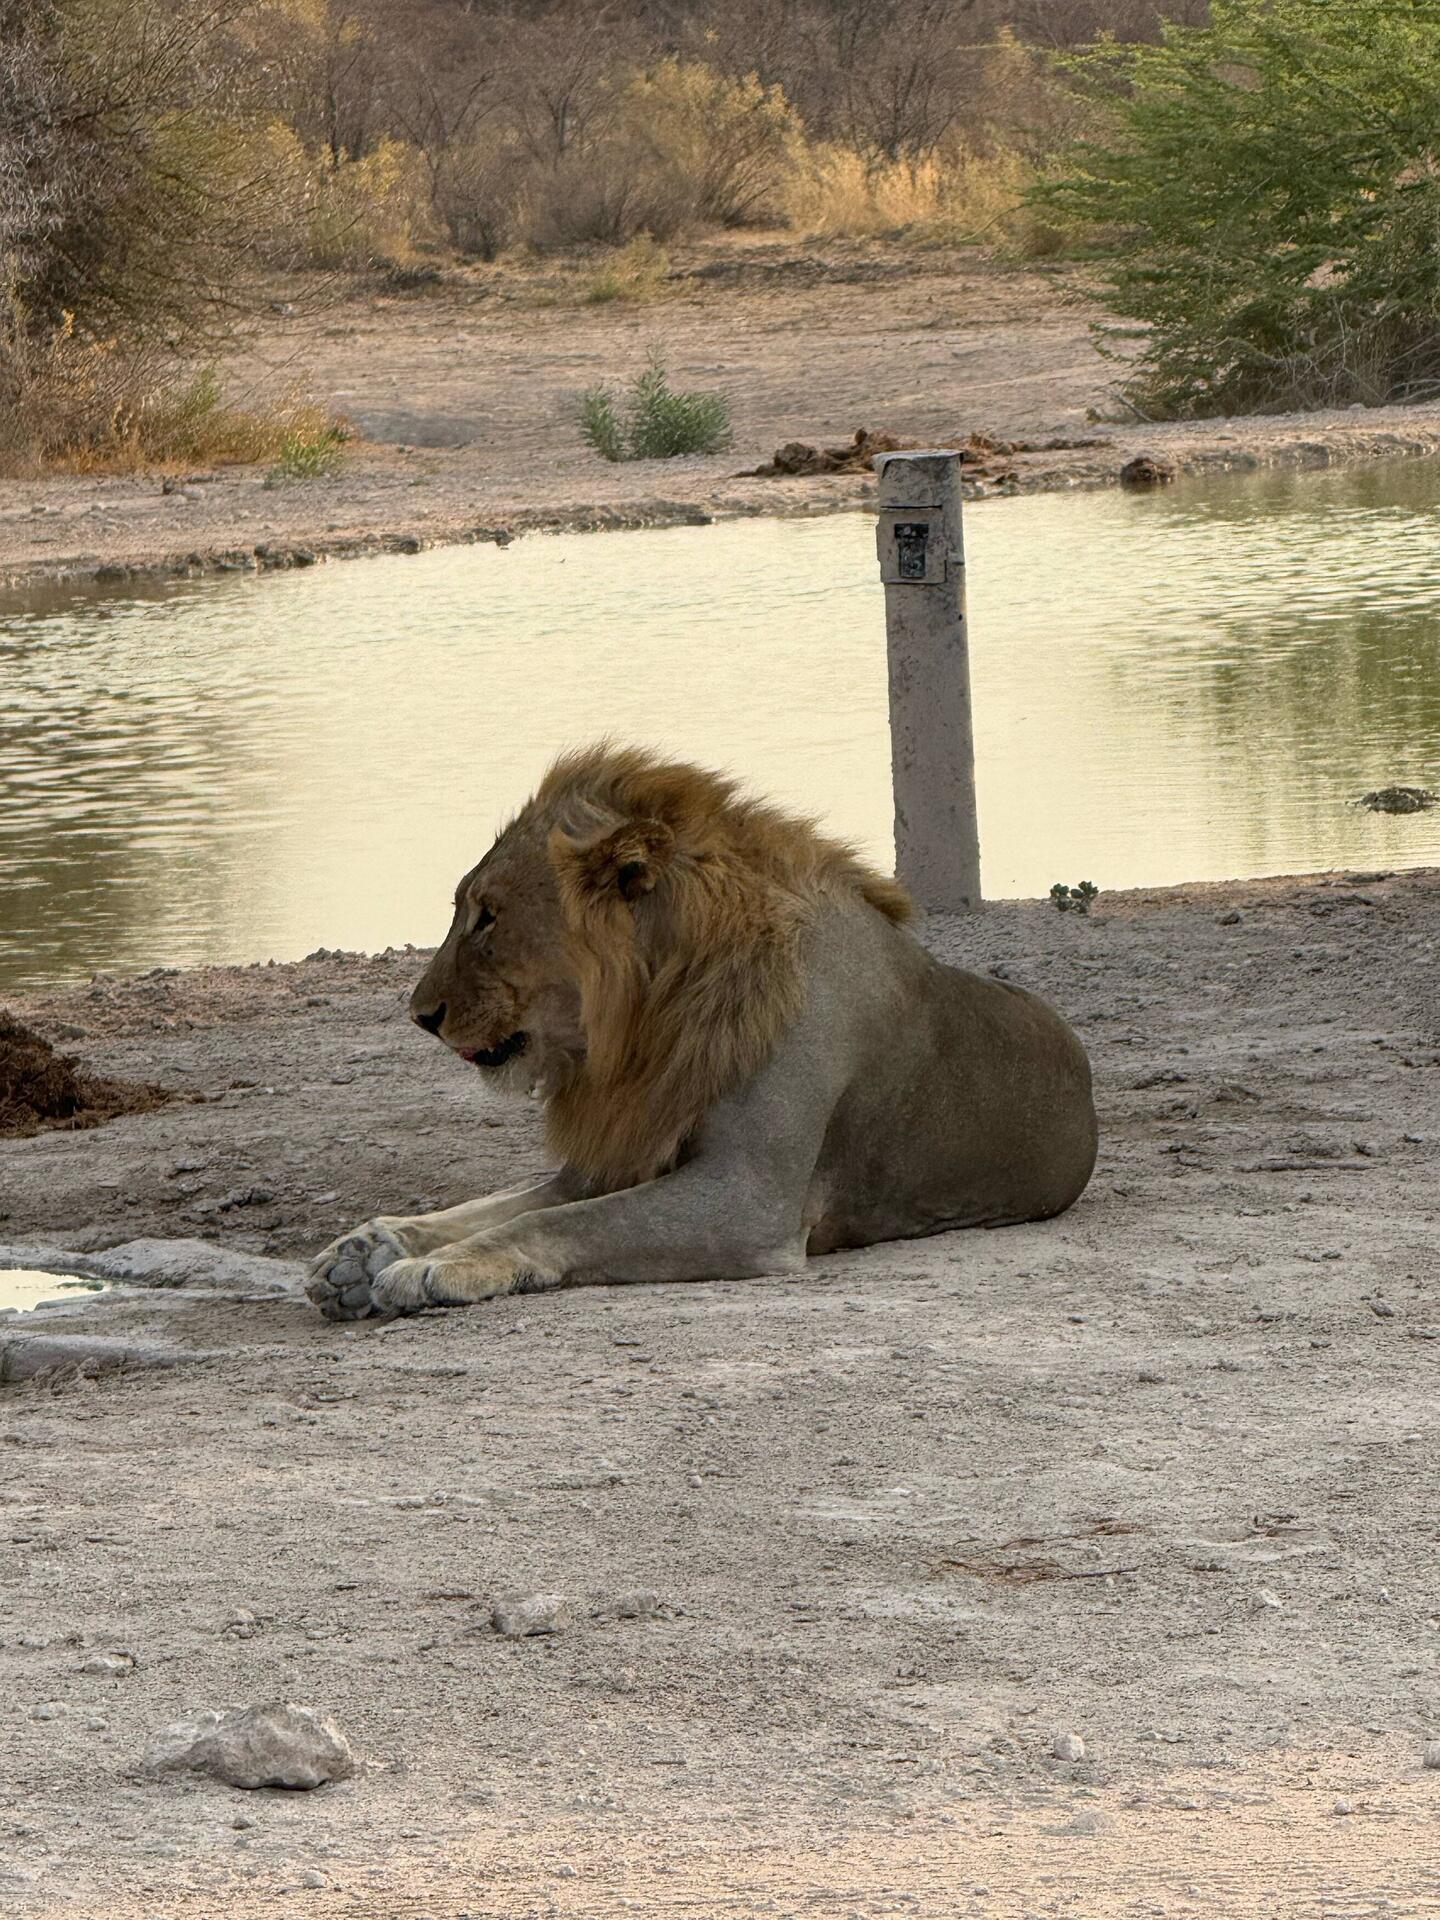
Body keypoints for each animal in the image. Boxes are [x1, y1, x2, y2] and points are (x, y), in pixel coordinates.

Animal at [306, 745, 1097, 1321]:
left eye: (488, 915)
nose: (420, 1014)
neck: (653, 1020)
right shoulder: (613, 1155)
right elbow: (499, 1204)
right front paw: (364, 1250)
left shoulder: (746, 1198)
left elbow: (556, 1224)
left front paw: (430, 1269)